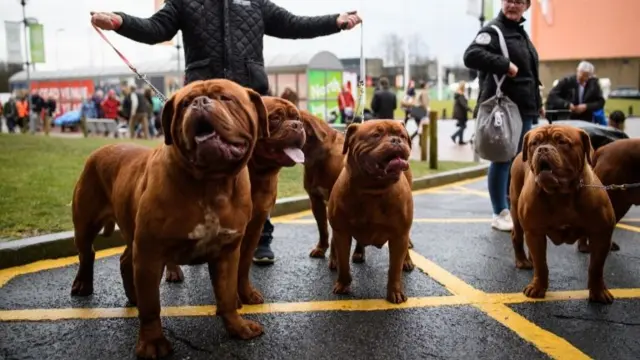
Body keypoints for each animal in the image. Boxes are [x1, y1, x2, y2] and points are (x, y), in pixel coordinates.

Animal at [70, 80, 270, 358]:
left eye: (226, 98)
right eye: (185, 103)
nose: (200, 102)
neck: (211, 182)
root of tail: (101, 149)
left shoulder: (228, 252)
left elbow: (227, 295)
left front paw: (238, 328)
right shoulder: (150, 253)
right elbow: (152, 306)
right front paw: (152, 343)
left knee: (124, 260)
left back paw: (132, 296)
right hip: (86, 223)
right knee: (86, 253)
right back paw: (82, 285)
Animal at [164, 95, 306, 304]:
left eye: (297, 117)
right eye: (275, 118)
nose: (297, 125)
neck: (257, 173)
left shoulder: (255, 226)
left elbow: (243, 265)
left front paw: (246, 293)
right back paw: (173, 270)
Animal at [324, 119, 416, 302]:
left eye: (403, 136)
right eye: (376, 135)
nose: (396, 140)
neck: (372, 190)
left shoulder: (399, 236)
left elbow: (394, 269)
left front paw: (395, 292)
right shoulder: (342, 233)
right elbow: (344, 263)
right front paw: (343, 284)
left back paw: (407, 262)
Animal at [510, 124, 616, 304]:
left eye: (561, 142)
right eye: (534, 143)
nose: (542, 149)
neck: (560, 194)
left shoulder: (601, 235)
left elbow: (596, 267)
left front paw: (598, 291)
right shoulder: (534, 232)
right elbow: (541, 264)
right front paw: (537, 287)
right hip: (516, 211)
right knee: (517, 236)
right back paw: (523, 261)